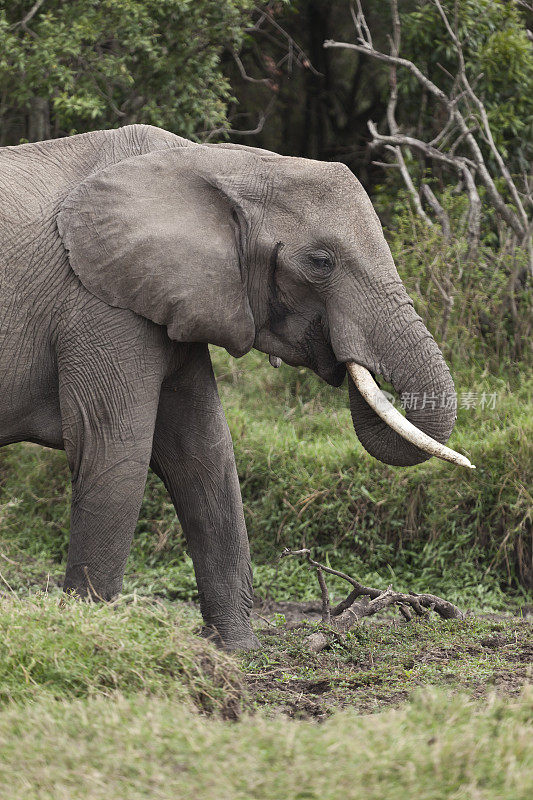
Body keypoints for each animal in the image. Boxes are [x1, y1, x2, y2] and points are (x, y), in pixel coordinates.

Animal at [0, 125, 470, 648]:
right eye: (321, 261)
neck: (216, 162)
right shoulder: (100, 304)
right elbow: (115, 452)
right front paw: (87, 634)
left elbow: (204, 454)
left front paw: (236, 649)